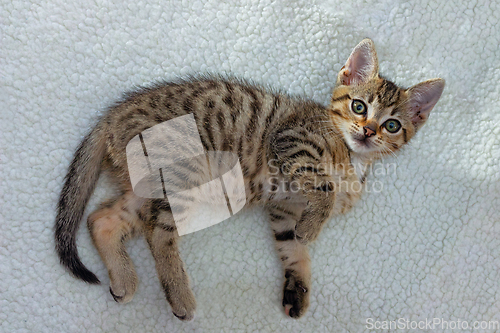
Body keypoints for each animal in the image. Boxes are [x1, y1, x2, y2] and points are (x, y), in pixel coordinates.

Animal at [54, 39, 446, 320]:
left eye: (392, 125)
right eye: (359, 106)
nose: (367, 131)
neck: (352, 159)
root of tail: (111, 116)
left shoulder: (284, 209)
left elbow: (293, 248)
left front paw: (298, 286)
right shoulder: (294, 142)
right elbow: (324, 187)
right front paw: (314, 225)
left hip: (146, 186)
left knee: (102, 218)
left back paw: (123, 277)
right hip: (183, 172)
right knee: (158, 232)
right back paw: (179, 294)